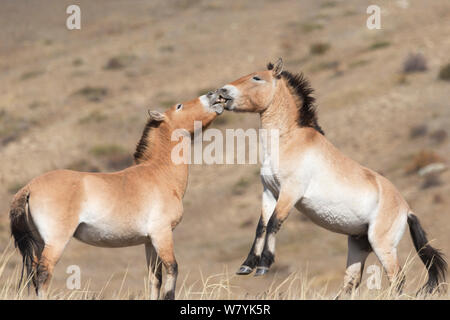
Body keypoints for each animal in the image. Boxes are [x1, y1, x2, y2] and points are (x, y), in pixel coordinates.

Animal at [8, 93, 223, 300]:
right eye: (179, 106)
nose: (215, 96)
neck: (159, 173)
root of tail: (28, 188)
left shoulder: (149, 241)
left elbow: (155, 278)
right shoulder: (162, 234)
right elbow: (172, 270)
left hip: (39, 244)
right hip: (55, 242)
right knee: (43, 274)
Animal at [215, 58, 446, 296]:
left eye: (257, 78)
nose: (223, 91)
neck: (289, 140)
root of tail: (407, 210)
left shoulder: (290, 192)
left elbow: (273, 223)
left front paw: (263, 266)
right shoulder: (269, 192)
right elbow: (261, 227)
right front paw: (246, 265)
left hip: (383, 246)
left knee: (397, 279)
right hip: (359, 244)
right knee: (351, 284)